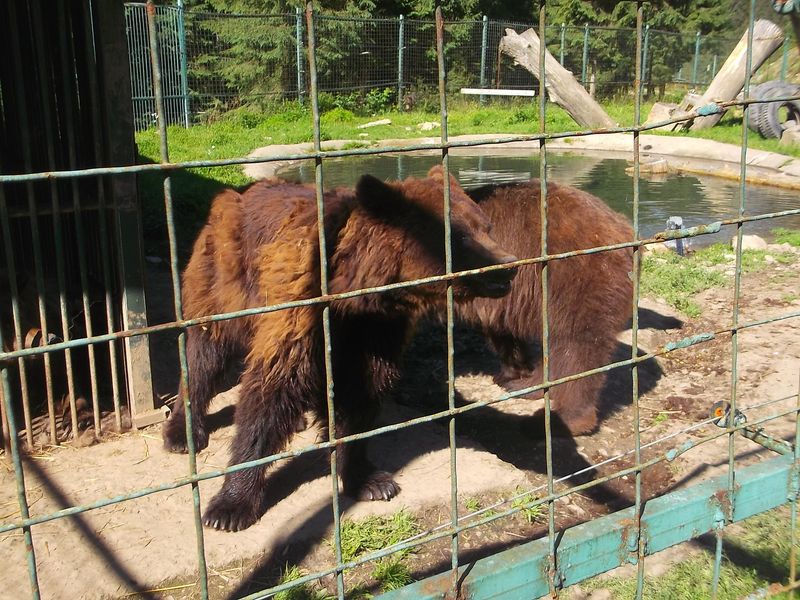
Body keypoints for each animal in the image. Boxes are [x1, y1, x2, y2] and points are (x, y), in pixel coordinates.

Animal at [161, 168, 518, 532]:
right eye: (460, 236)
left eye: (486, 226)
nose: (508, 265)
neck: (356, 292)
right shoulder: (301, 304)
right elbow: (272, 389)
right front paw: (229, 507)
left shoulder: (374, 329)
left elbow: (359, 397)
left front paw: (369, 479)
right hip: (223, 278)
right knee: (205, 353)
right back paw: (182, 431)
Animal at [459, 179, 634, 436]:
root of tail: (625, 228)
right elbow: (503, 331)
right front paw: (514, 370)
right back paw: (526, 383)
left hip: (578, 279)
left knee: (578, 346)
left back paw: (567, 418)